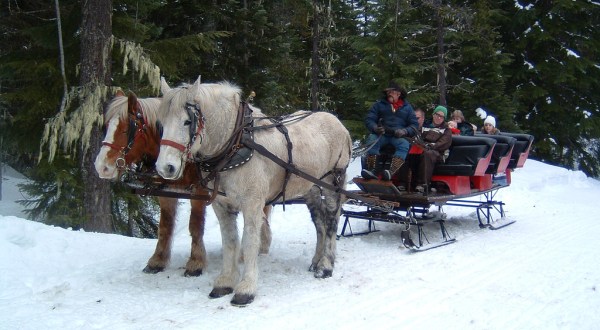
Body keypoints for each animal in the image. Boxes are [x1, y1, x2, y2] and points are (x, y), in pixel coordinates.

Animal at [95, 89, 272, 276]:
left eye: (126, 129)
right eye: (106, 126)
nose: (101, 167)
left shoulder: (199, 193)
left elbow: (195, 225)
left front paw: (196, 262)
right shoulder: (166, 193)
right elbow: (165, 225)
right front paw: (157, 260)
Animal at [156, 78, 352, 306]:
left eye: (187, 122)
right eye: (161, 123)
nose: (165, 167)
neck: (237, 144)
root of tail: (337, 122)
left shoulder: (253, 204)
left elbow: (250, 243)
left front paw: (246, 289)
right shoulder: (222, 206)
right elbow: (230, 242)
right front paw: (225, 282)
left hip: (332, 182)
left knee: (331, 221)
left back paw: (326, 265)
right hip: (310, 187)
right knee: (320, 222)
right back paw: (316, 260)